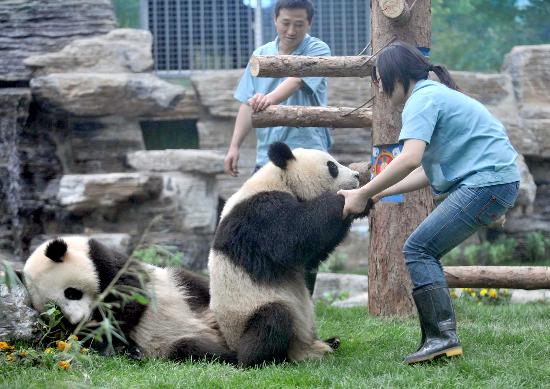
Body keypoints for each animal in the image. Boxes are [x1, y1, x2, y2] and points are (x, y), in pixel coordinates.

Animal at [23, 235, 236, 362]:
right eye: (57, 309)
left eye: (71, 293)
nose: (79, 320)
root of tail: (210, 328)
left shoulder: (106, 262)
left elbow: (131, 298)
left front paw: (107, 335)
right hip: (173, 344)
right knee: (193, 348)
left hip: (182, 285)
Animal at [209, 141, 374, 366]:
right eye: (332, 166)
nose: (356, 176)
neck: (280, 179)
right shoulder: (259, 213)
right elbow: (291, 238)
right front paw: (345, 200)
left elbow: (311, 253)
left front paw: (364, 201)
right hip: (247, 314)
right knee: (274, 320)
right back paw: (264, 358)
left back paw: (330, 342)